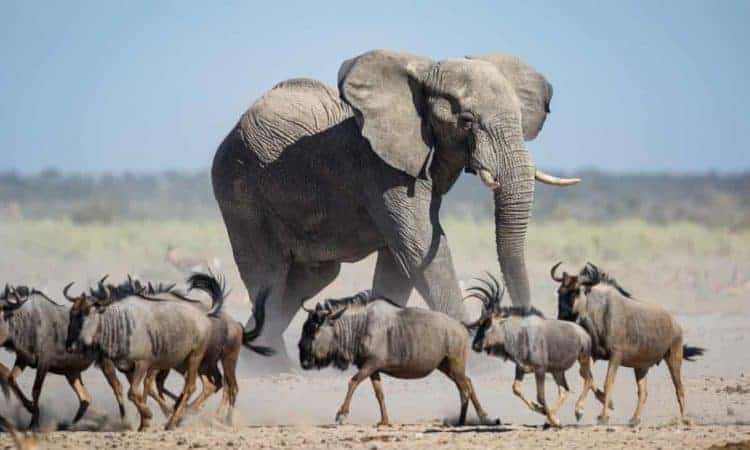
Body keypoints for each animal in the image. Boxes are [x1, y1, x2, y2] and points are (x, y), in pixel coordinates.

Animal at [211, 49, 579, 363]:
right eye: (466, 120)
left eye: (519, 119)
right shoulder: (381, 167)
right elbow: (420, 246)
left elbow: (402, 260)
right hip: (239, 189)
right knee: (268, 274)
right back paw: (272, 366)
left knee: (311, 277)